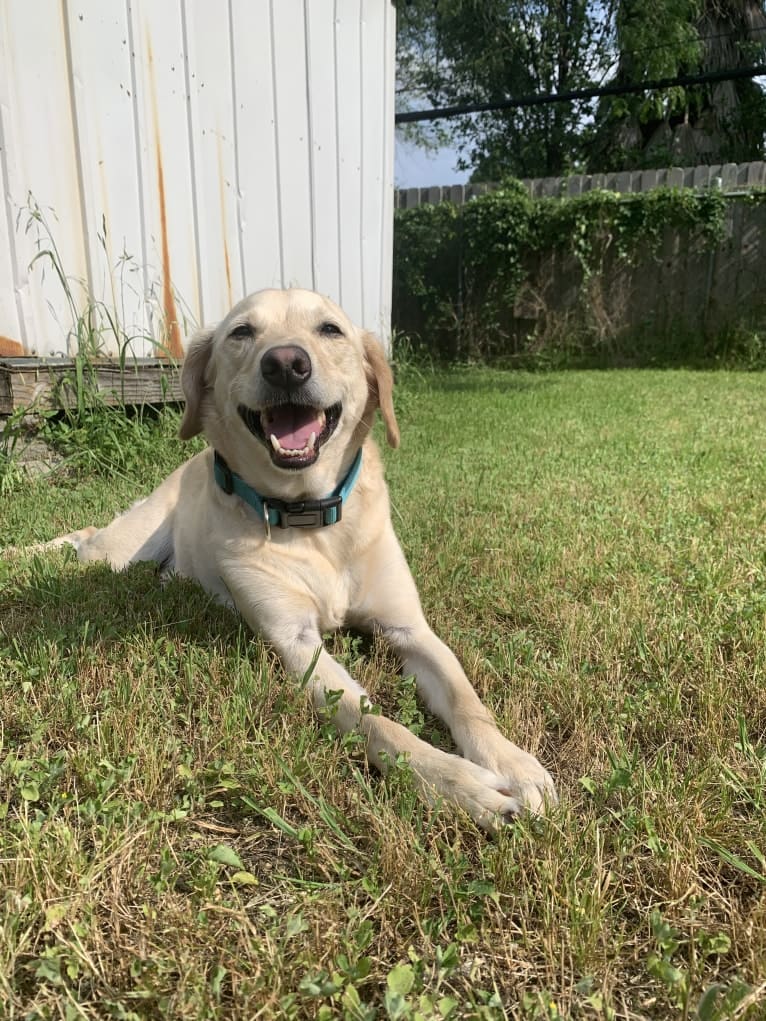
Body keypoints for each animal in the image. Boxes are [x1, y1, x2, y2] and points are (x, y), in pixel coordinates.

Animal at [27, 287, 555, 829]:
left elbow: (466, 698)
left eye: (330, 329)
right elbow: (379, 723)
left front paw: (512, 762)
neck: (311, 519)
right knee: (87, 538)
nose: (285, 364)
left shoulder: (409, 630)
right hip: (116, 552)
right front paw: (463, 786)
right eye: (241, 332)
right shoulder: (297, 645)